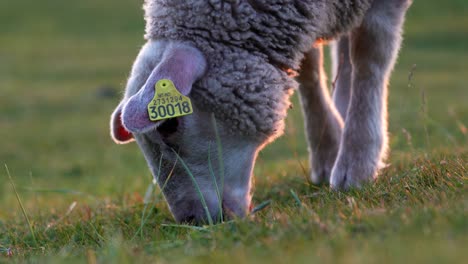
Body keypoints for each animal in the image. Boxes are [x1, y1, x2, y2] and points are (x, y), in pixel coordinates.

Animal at [109, 0, 410, 224]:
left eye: (169, 125)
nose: (192, 220)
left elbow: (369, 52)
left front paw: (357, 165)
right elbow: (308, 68)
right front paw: (327, 152)